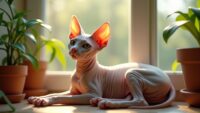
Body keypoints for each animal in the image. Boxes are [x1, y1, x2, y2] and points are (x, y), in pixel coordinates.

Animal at [27, 15, 175, 109]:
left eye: (86, 46)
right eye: (73, 42)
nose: (73, 50)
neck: (81, 71)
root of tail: (168, 79)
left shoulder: (90, 93)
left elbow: (62, 97)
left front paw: (45, 100)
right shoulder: (73, 91)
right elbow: (54, 93)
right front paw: (38, 97)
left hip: (131, 73)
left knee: (141, 101)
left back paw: (107, 102)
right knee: (130, 98)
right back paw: (102, 100)